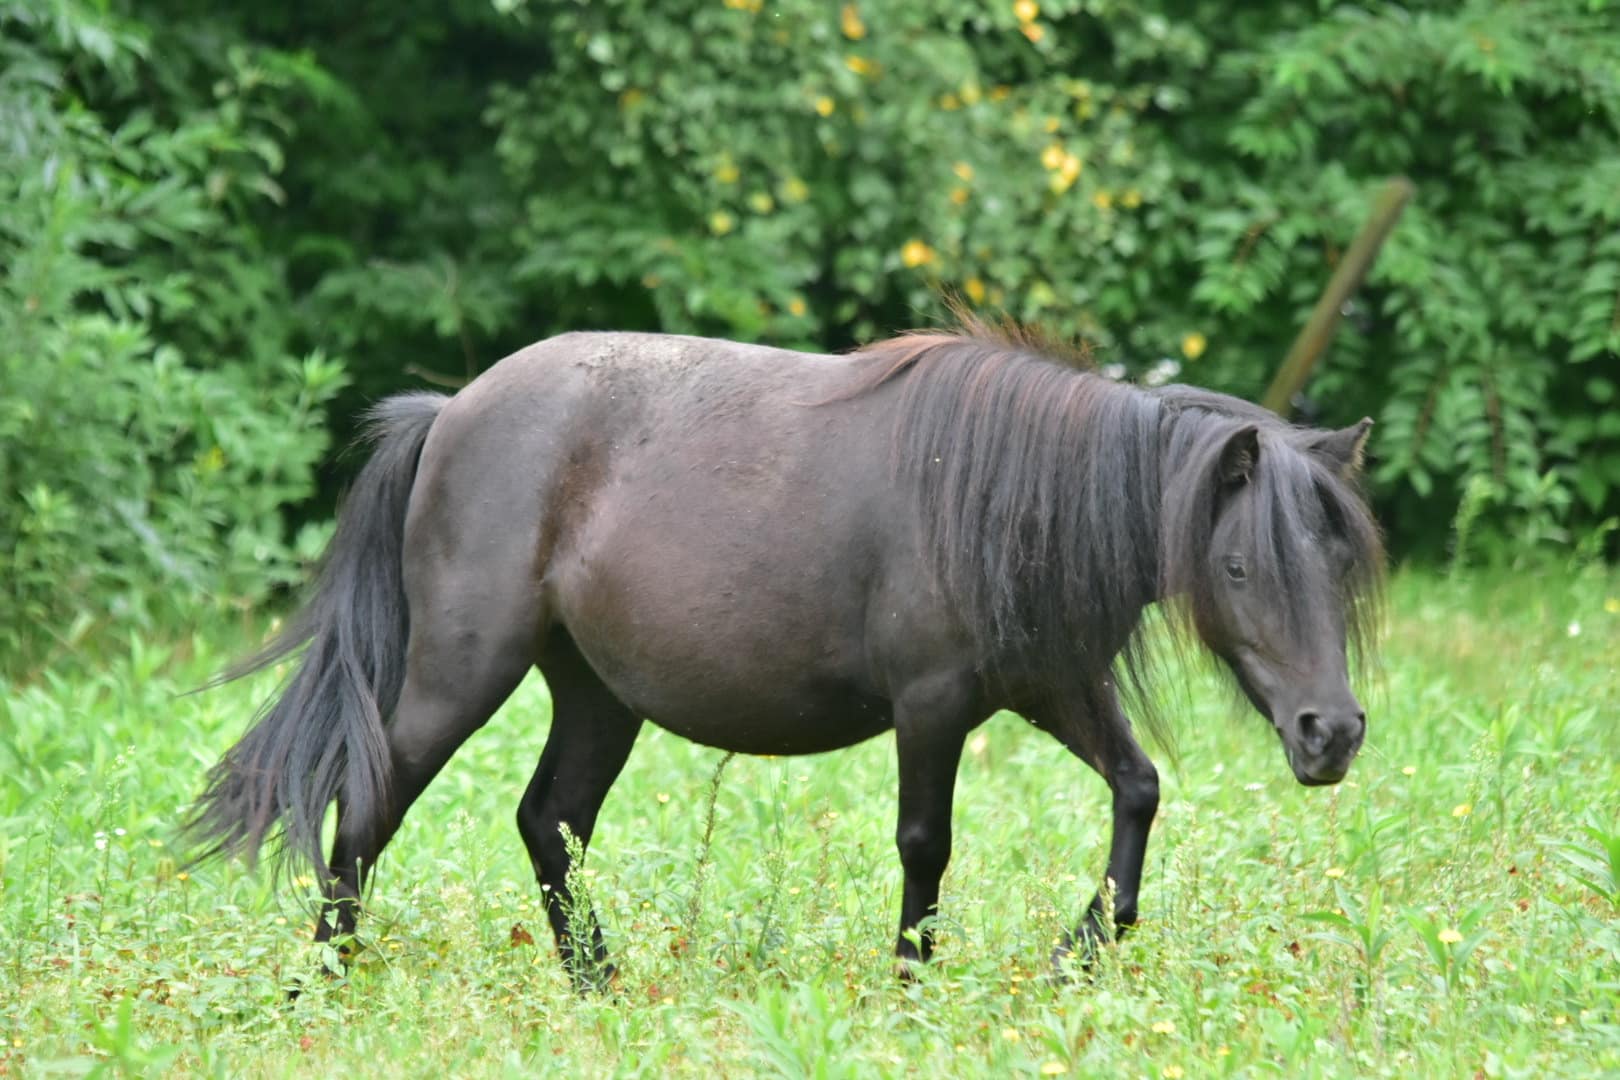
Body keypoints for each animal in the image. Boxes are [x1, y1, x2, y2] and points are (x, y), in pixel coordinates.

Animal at [188, 319, 1383, 986]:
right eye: (1240, 569)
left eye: (1338, 564)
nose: (1331, 734)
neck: (1000, 492)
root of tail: (449, 411)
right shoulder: (934, 706)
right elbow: (925, 847)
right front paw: (909, 982)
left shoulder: (1050, 685)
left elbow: (1137, 792)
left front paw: (1075, 956)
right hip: (460, 672)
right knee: (371, 803)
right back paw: (327, 978)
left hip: (598, 695)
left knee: (548, 821)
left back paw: (599, 986)